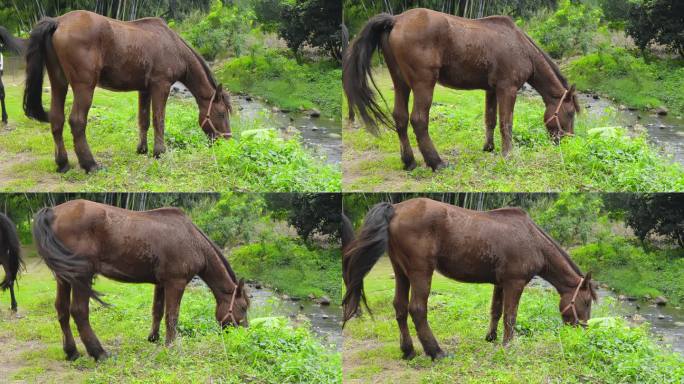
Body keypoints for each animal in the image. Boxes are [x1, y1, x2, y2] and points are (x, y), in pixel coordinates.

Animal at [24, 10, 234, 173]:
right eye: (221, 114)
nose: (227, 140)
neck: (173, 46)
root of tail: (58, 21)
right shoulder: (161, 86)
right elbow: (159, 120)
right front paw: (160, 152)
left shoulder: (145, 90)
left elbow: (144, 120)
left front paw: (142, 149)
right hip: (84, 87)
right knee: (77, 121)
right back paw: (90, 164)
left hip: (59, 83)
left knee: (57, 120)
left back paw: (62, 163)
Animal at [32, 200, 251, 362]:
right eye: (243, 307)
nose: (244, 333)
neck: (192, 240)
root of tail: (53, 212)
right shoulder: (176, 283)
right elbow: (172, 316)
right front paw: (171, 346)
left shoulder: (162, 283)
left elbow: (157, 311)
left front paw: (154, 338)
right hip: (81, 277)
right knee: (79, 312)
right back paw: (99, 352)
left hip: (64, 278)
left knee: (61, 310)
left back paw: (71, 352)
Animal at [344, 8, 580, 171]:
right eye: (569, 113)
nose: (568, 141)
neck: (519, 46)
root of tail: (396, 20)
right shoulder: (508, 89)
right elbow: (506, 123)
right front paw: (508, 154)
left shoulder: (492, 90)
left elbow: (490, 120)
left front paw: (488, 147)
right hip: (423, 84)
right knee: (418, 120)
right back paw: (436, 162)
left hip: (401, 83)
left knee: (400, 118)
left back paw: (409, 161)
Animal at [344, 198, 596, 360]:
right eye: (586, 302)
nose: (583, 330)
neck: (532, 240)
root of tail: (395, 209)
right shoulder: (515, 283)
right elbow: (511, 316)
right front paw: (508, 345)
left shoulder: (501, 283)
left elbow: (496, 311)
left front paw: (491, 337)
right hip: (420, 272)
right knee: (417, 309)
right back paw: (436, 352)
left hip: (401, 272)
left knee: (400, 307)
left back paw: (408, 351)